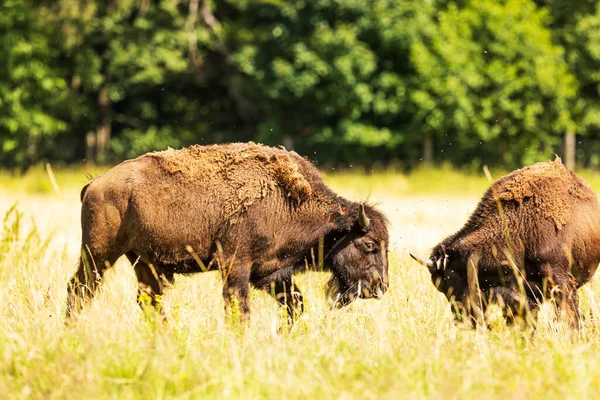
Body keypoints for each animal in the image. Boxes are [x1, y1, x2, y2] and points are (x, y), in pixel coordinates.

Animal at [65, 143, 390, 324]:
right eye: (369, 245)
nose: (381, 287)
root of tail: (95, 183)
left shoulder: (271, 273)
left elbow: (295, 305)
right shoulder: (236, 265)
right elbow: (239, 309)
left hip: (143, 262)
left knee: (149, 300)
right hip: (99, 254)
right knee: (79, 290)